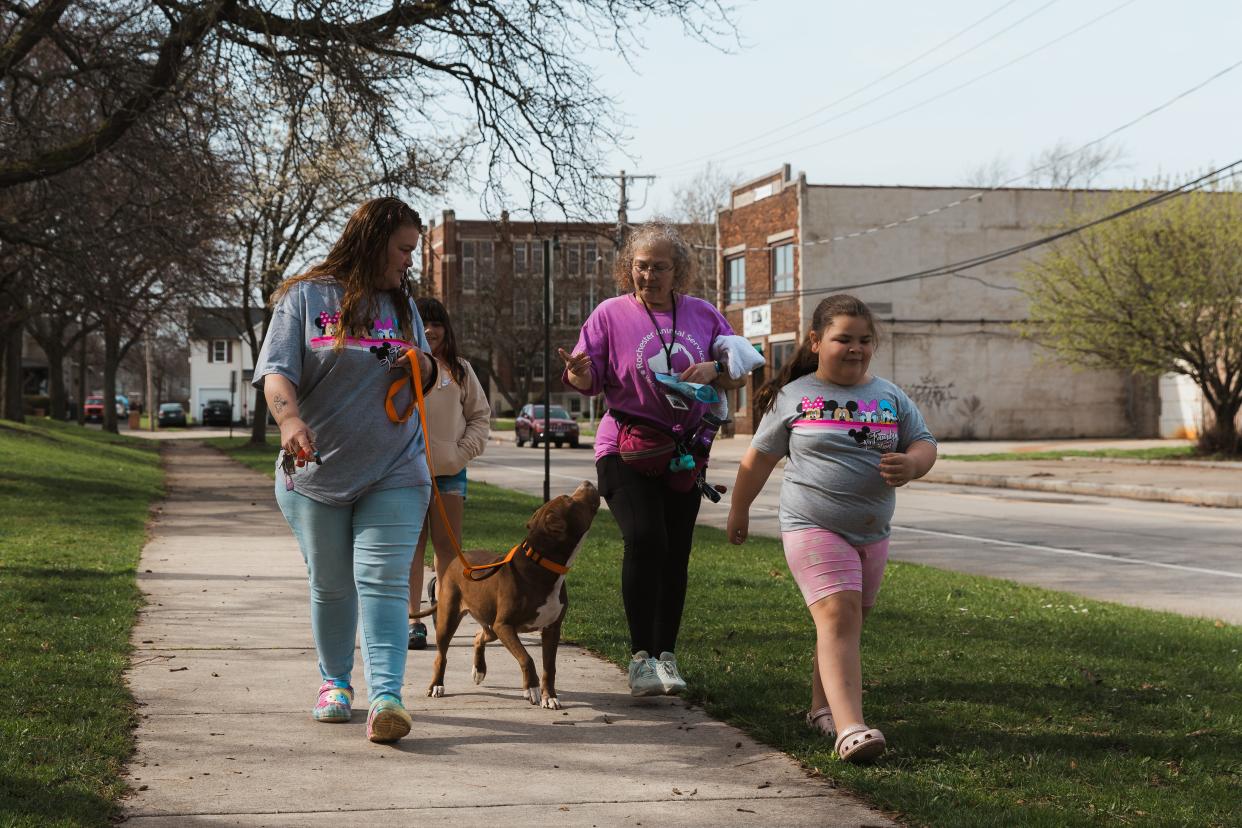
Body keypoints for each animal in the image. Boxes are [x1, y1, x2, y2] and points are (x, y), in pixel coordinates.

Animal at [417, 481, 601, 710]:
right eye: (569, 498)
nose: (587, 483)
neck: (540, 563)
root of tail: (457, 559)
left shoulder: (551, 628)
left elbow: (550, 667)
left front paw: (549, 696)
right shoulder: (504, 625)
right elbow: (526, 657)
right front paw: (531, 688)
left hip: (490, 622)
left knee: (479, 636)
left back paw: (479, 669)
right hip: (450, 616)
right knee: (441, 654)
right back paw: (436, 685)